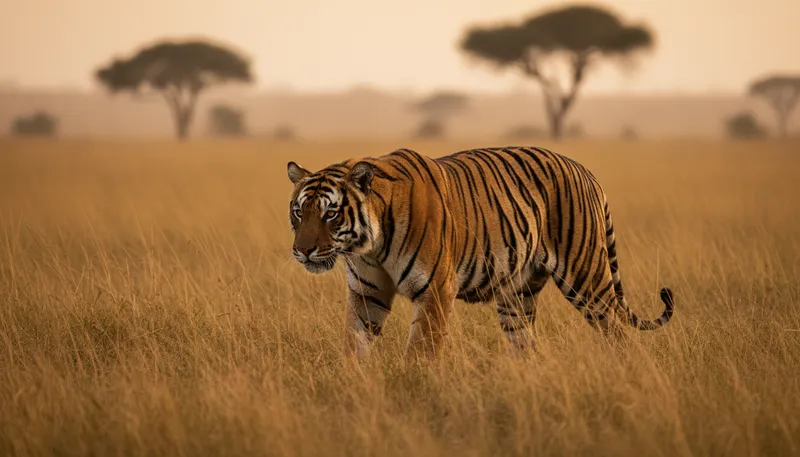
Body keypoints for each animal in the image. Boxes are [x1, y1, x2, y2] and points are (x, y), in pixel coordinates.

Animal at [286, 146, 674, 360]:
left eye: (330, 213)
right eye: (299, 211)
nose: (302, 251)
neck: (370, 245)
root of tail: (586, 171)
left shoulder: (435, 290)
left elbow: (421, 352)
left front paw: (414, 389)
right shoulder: (367, 294)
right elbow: (354, 343)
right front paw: (353, 382)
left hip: (587, 279)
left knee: (618, 331)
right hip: (518, 295)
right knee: (524, 345)